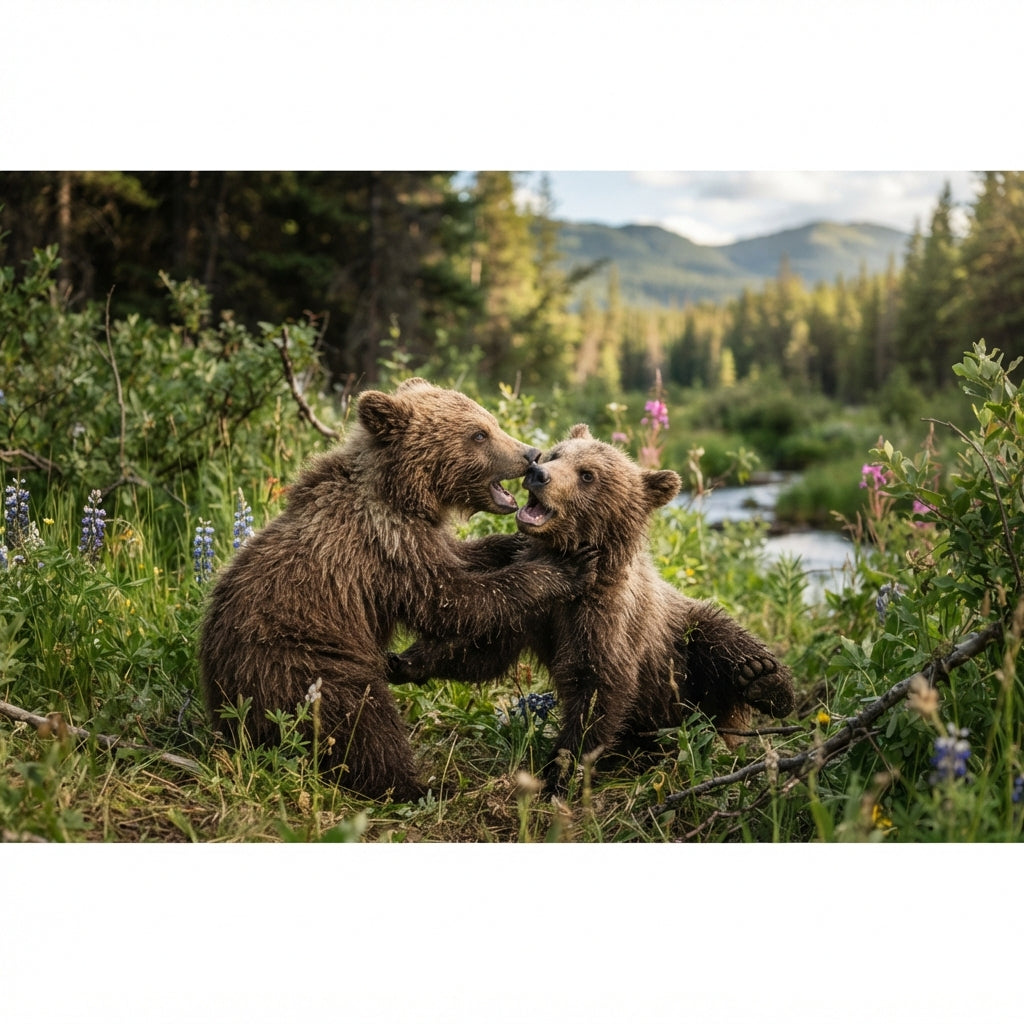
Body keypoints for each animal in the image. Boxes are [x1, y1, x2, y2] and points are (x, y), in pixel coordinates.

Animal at [198, 379, 595, 801]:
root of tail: (227, 712)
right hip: (303, 664)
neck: (403, 495)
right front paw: (565, 567)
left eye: (490, 421)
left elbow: (464, 558)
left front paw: (515, 544)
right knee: (363, 723)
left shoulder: (422, 539)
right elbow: (454, 600)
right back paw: (422, 785)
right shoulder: (388, 549)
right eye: (478, 434)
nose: (530, 455)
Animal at [390, 423, 795, 793]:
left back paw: (764, 680)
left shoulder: (605, 618)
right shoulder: (536, 608)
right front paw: (406, 660)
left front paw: (560, 770)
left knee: (719, 634)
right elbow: (487, 648)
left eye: (588, 475)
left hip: (680, 641)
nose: (538, 474)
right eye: (555, 454)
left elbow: (596, 687)